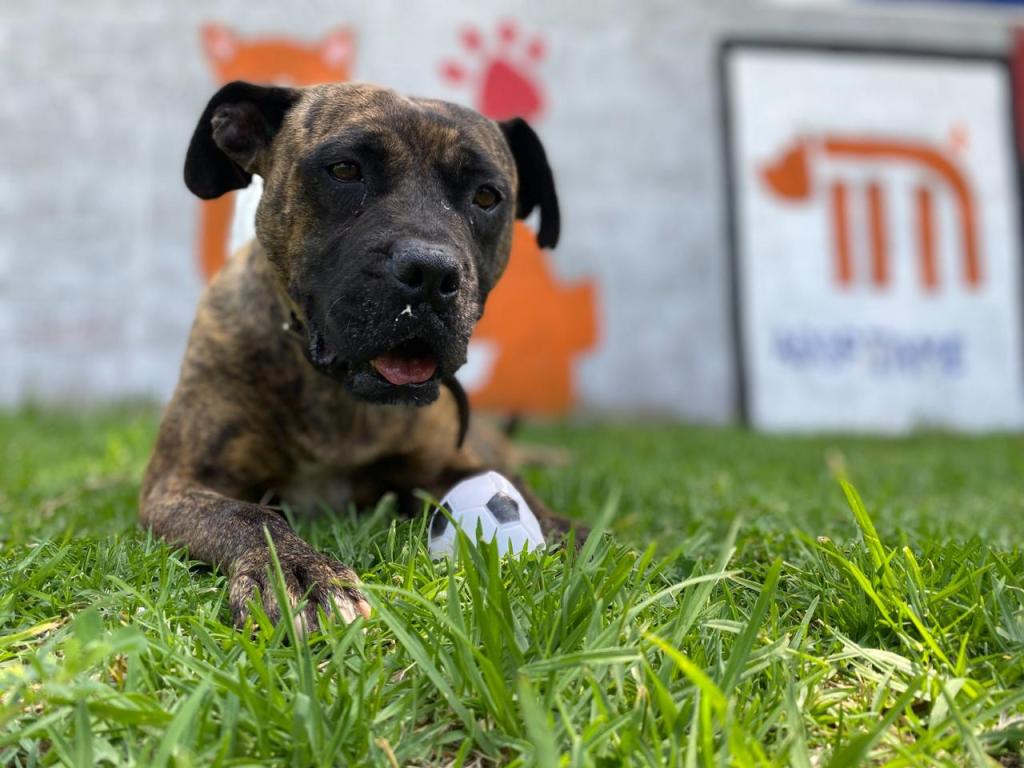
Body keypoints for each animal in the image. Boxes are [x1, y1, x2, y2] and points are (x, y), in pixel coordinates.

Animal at [140, 79, 581, 630]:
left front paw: (565, 530)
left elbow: (523, 499)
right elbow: (246, 514)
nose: (431, 273)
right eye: (346, 170)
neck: (335, 397)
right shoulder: (176, 484)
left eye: (486, 196)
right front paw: (298, 572)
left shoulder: (452, 464)